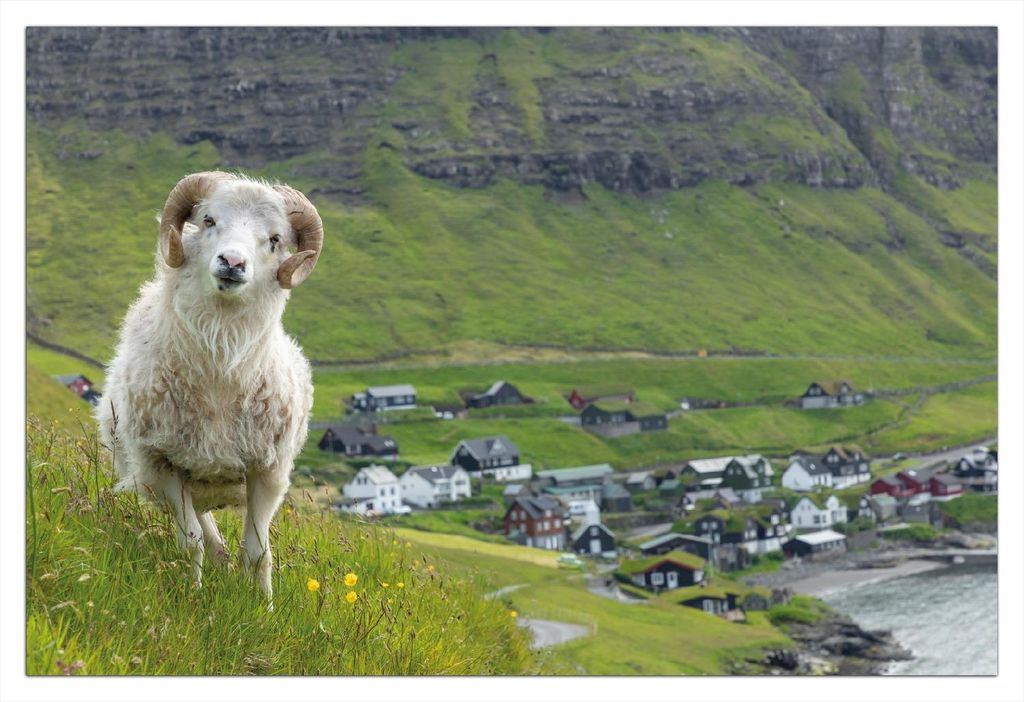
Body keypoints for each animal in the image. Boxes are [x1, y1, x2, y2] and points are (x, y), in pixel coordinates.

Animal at [95, 171, 323, 601]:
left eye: (274, 239)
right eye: (209, 220)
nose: (232, 263)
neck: (220, 370)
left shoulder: (268, 472)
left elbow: (258, 552)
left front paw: (263, 606)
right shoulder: (162, 465)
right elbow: (191, 542)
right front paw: (192, 596)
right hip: (170, 481)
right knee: (208, 537)